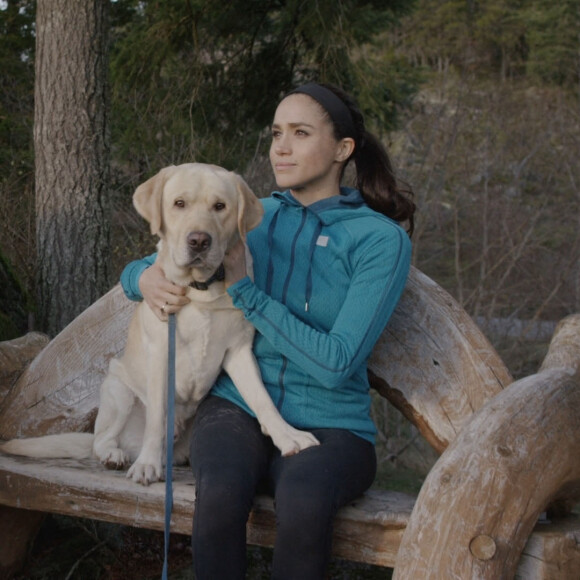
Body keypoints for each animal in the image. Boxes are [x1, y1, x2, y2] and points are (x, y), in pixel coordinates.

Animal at [0, 163, 318, 484]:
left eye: (220, 206)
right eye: (179, 203)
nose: (199, 240)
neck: (199, 291)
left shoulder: (239, 351)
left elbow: (262, 399)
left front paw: (288, 437)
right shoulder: (161, 355)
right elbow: (156, 419)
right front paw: (146, 465)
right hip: (118, 390)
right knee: (100, 440)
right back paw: (116, 455)